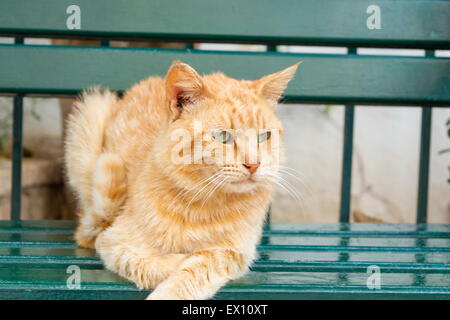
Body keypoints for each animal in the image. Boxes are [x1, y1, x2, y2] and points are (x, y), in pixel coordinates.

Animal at [64, 60, 298, 300]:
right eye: (222, 136)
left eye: (264, 136)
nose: (254, 164)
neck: (202, 203)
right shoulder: (113, 241)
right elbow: (147, 261)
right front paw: (177, 260)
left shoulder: (235, 251)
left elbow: (201, 266)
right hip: (93, 112)